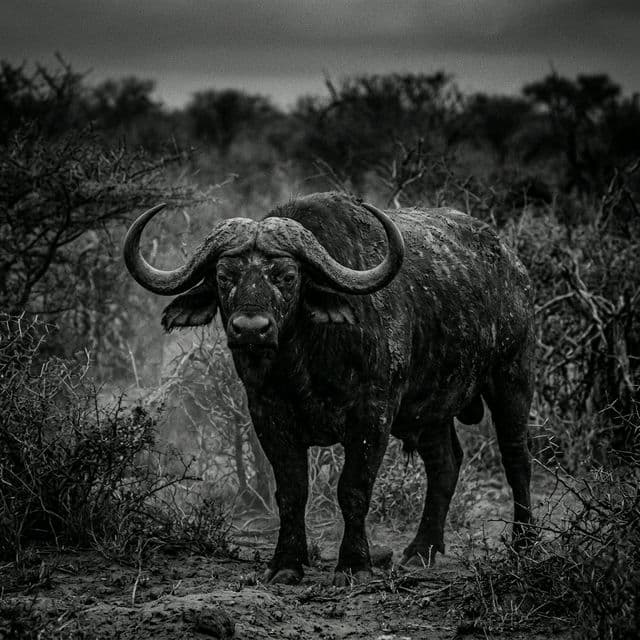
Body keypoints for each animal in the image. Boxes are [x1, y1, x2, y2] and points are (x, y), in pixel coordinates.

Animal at [123, 192, 534, 586]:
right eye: (225, 276)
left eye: (287, 276)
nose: (251, 329)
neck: (302, 363)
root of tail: (513, 265)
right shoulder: (268, 415)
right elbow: (291, 492)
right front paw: (286, 564)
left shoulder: (372, 416)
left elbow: (353, 489)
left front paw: (353, 565)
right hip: (428, 411)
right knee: (445, 464)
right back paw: (422, 549)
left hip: (512, 379)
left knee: (516, 459)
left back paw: (523, 542)